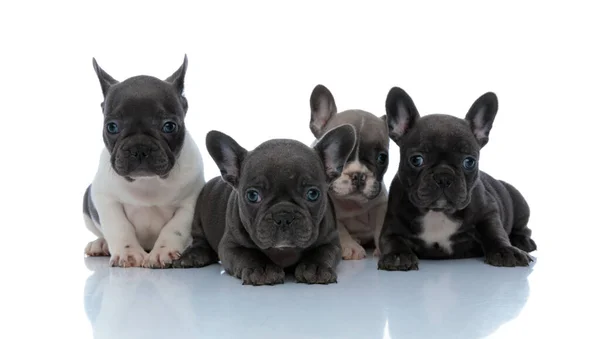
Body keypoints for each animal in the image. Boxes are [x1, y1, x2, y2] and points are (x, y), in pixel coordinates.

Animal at [82, 55, 205, 268]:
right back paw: (100, 244)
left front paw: (162, 252)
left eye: (169, 126)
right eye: (112, 127)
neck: (147, 183)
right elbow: (119, 226)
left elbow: (175, 228)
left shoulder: (190, 203)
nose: (139, 148)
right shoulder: (105, 199)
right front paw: (128, 253)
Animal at [172, 125, 356, 286]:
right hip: (198, 217)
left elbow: (321, 253)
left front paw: (315, 267)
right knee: (200, 240)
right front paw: (263, 269)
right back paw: (193, 256)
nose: (283, 216)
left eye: (313, 194)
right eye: (252, 196)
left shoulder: (331, 242)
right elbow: (249, 254)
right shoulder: (230, 245)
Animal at [310, 85, 390, 260]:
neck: (352, 203)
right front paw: (351, 247)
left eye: (382, 158)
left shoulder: (381, 204)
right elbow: (340, 230)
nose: (358, 175)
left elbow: (381, 224)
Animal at [378, 87, 536, 270]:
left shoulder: (488, 211)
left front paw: (505, 250)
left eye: (469, 161)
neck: (438, 212)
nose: (443, 176)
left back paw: (522, 241)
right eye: (416, 160)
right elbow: (392, 240)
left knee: (523, 228)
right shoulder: (392, 225)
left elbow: (495, 231)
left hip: (519, 201)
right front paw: (397, 255)